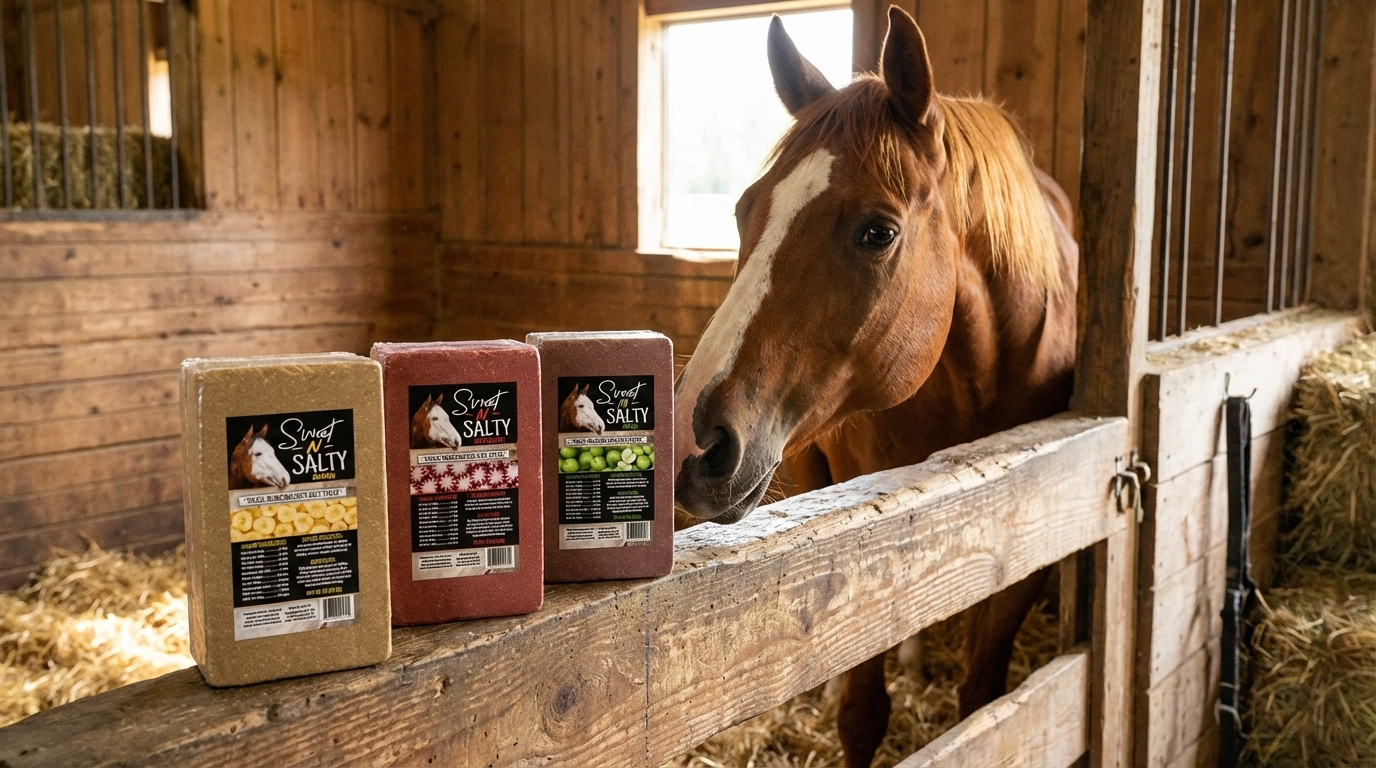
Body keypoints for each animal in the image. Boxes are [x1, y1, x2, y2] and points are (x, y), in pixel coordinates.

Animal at [672, 8, 1078, 767]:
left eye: (877, 232)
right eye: (744, 211)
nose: (693, 440)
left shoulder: (1031, 537)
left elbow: (983, 700)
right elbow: (862, 712)